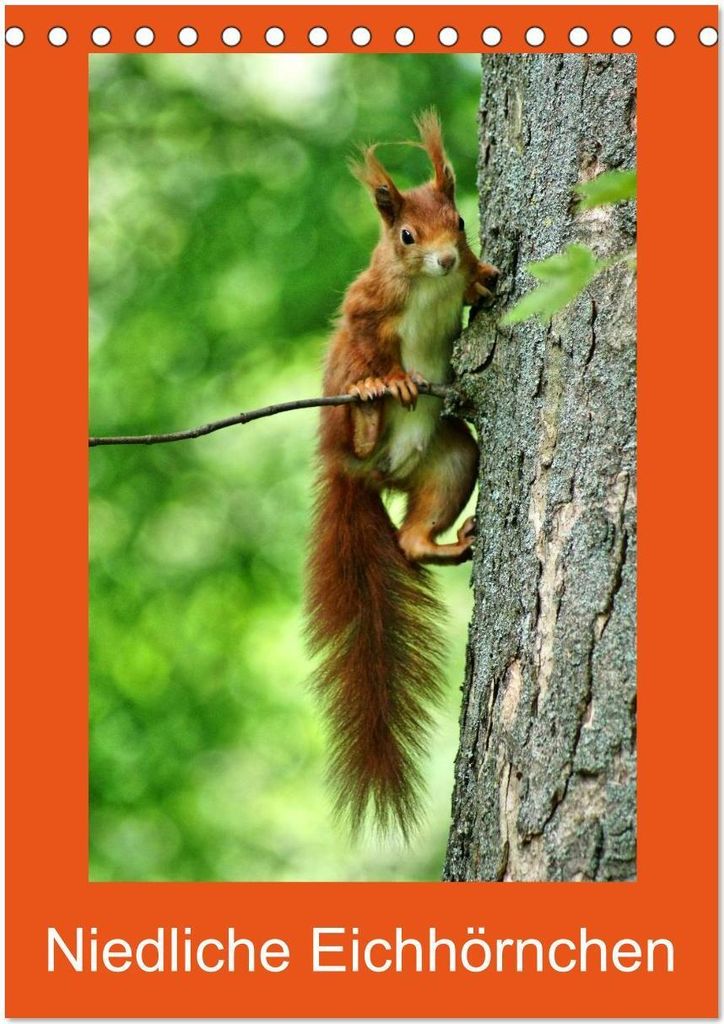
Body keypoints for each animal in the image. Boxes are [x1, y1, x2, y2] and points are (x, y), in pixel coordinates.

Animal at [306, 110, 498, 838]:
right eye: (407, 236)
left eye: (461, 222)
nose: (445, 258)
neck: (431, 285)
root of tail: (359, 479)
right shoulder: (367, 306)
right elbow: (366, 335)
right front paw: (384, 378)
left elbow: (477, 281)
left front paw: (486, 275)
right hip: (346, 427)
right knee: (355, 423)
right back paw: (365, 412)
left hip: (450, 459)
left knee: (412, 540)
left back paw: (447, 542)